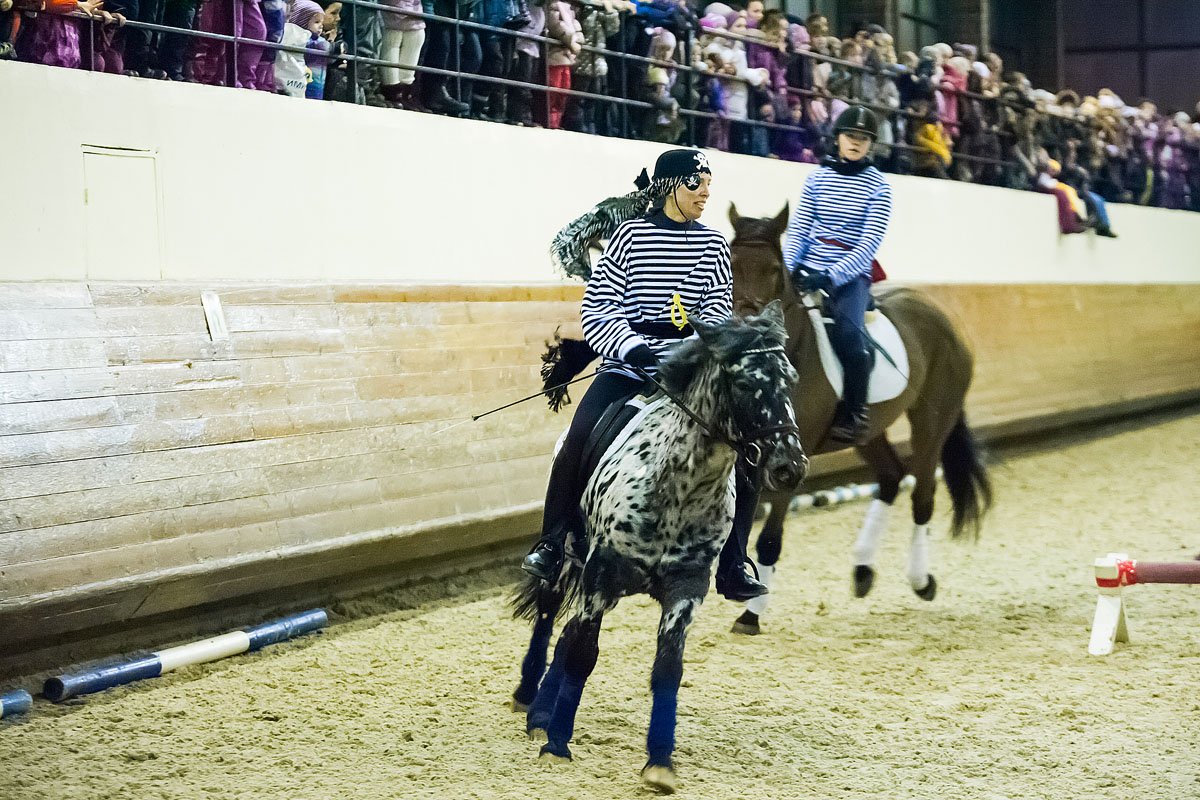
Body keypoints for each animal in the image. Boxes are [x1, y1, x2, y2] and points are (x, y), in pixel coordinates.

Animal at [508, 304, 806, 796]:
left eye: (792, 380)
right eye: (745, 383)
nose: (790, 468)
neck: (680, 486)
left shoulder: (686, 587)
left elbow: (668, 668)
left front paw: (660, 764)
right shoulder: (602, 574)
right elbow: (584, 655)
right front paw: (557, 745)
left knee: (567, 632)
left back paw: (543, 711)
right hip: (569, 559)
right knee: (551, 618)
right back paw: (528, 699)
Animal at [724, 206, 988, 638]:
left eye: (775, 270)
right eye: (730, 265)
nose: (746, 329)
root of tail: (941, 314)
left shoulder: (787, 465)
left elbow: (769, 540)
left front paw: (751, 614)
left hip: (933, 420)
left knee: (922, 494)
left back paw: (921, 581)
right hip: (869, 431)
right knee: (891, 477)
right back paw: (863, 570)